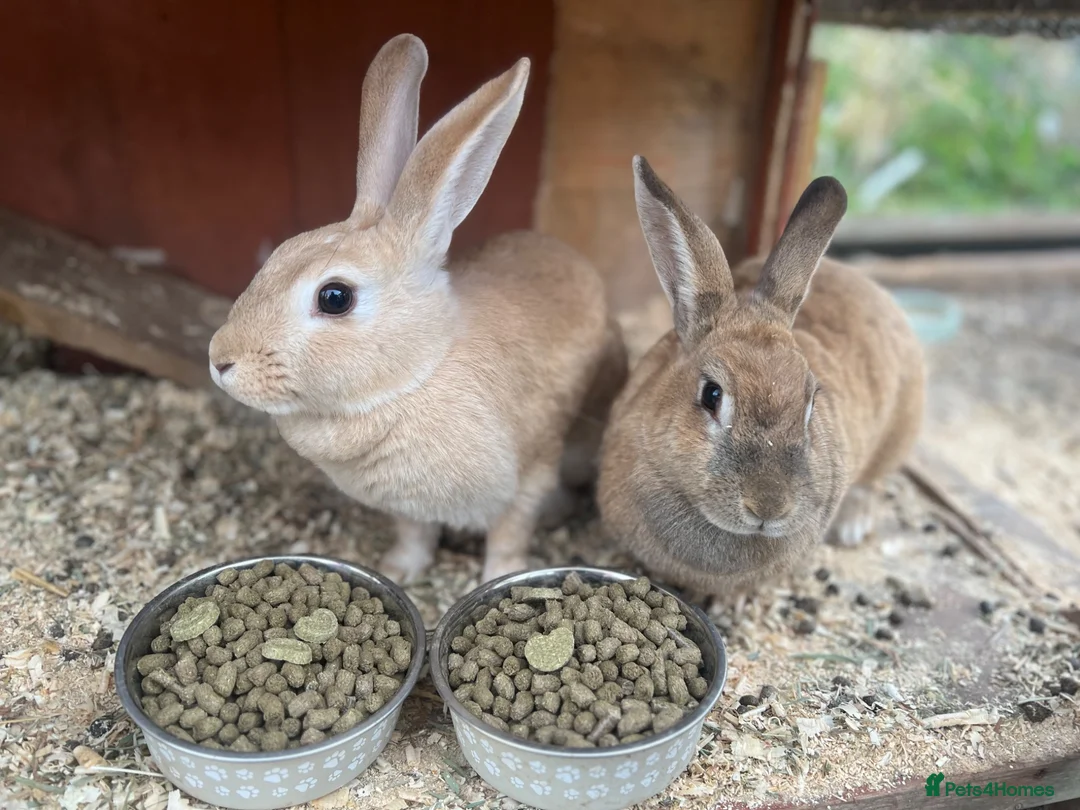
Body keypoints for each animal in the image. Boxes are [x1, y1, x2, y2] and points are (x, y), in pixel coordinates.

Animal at [208, 34, 627, 585]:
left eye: (334, 297)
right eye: (276, 255)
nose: (219, 360)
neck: (416, 374)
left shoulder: (526, 477)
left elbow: (510, 536)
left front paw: (495, 578)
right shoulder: (408, 505)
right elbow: (414, 535)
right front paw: (400, 569)